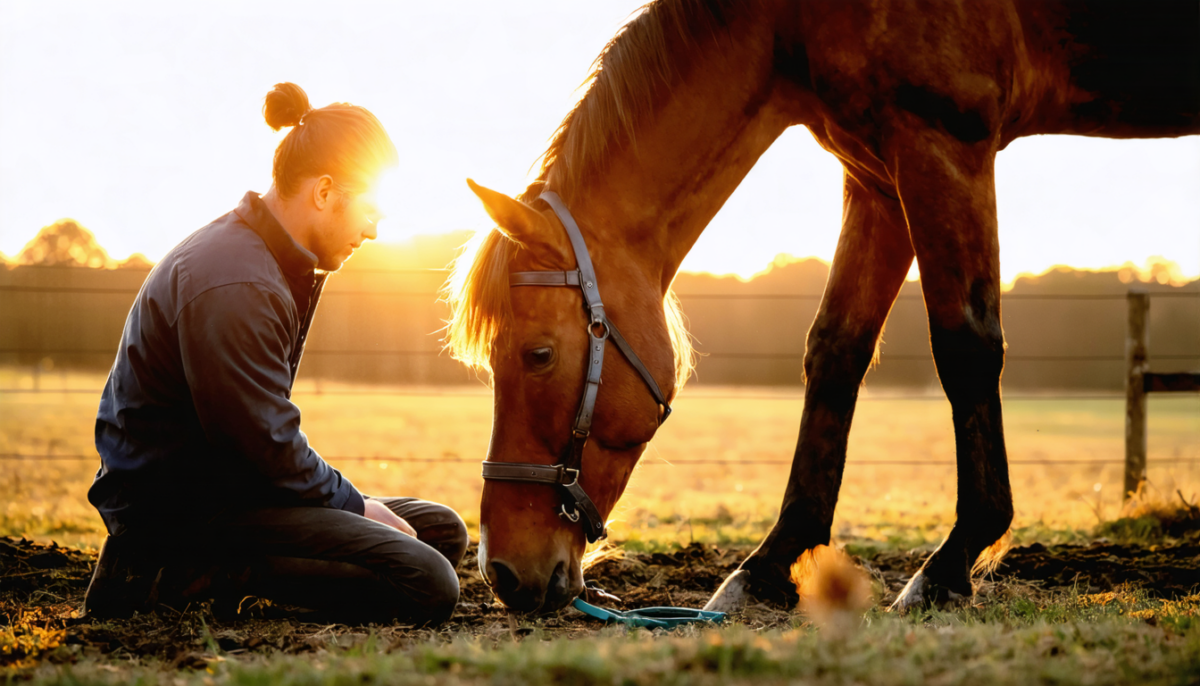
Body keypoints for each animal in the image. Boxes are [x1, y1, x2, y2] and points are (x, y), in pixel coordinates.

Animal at [444, 0, 1200, 613]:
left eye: (538, 354)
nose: (502, 570)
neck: (795, 20)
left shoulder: (941, 140)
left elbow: (965, 346)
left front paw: (950, 563)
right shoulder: (878, 174)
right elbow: (836, 350)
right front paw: (768, 566)